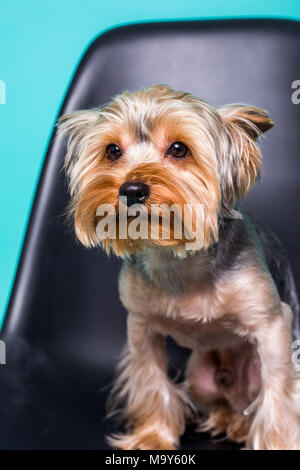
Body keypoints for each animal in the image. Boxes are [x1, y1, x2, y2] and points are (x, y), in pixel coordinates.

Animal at [58, 85, 300, 452]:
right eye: (112, 150)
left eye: (178, 149)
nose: (131, 189)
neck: (175, 255)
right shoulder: (140, 325)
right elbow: (150, 377)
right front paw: (152, 436)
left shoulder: (272, 323)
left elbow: (279, 389)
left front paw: (279, 444)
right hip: (200, 377)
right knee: (224, 402)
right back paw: (228, 421)